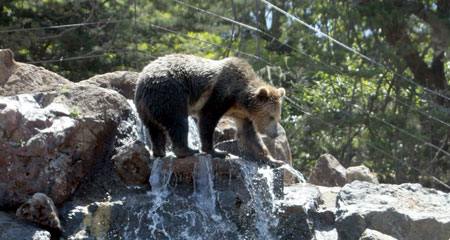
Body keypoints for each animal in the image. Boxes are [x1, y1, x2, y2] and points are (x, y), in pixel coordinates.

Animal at [135, 53, 286, 165]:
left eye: (278, 117)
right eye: (271, 116)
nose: (275, 134)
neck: (240, 99)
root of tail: (142, 80)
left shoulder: (242, 115)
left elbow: (249, 135)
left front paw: (274, 160)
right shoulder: (220, 94)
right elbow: (208, 118)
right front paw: (217, 152)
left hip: (146, 106)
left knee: (155, 128)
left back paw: (159, 151)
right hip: (170, 92)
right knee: (178, 121)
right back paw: (187, 150)